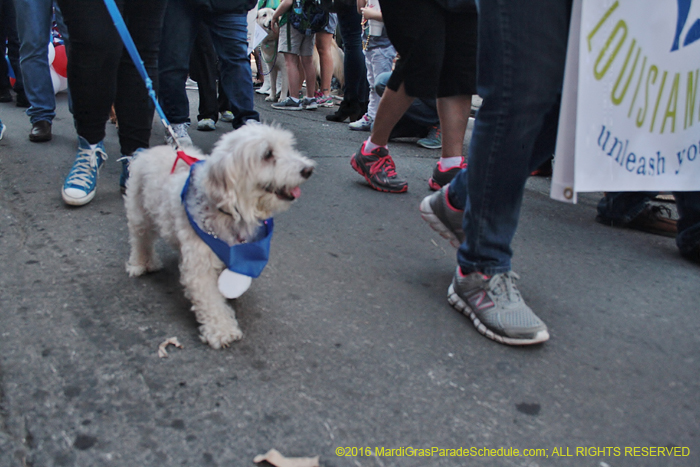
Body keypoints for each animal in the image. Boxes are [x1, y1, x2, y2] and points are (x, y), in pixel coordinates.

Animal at [123, 122, 314, 350]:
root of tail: (145, 152)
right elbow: (210, 300)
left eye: (289, 147)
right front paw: (222, 329)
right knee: (140, 240)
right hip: (139, 213)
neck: (228, 212)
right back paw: (141, 263)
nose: (308, 169)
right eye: (268, 154)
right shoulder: (200, 266)